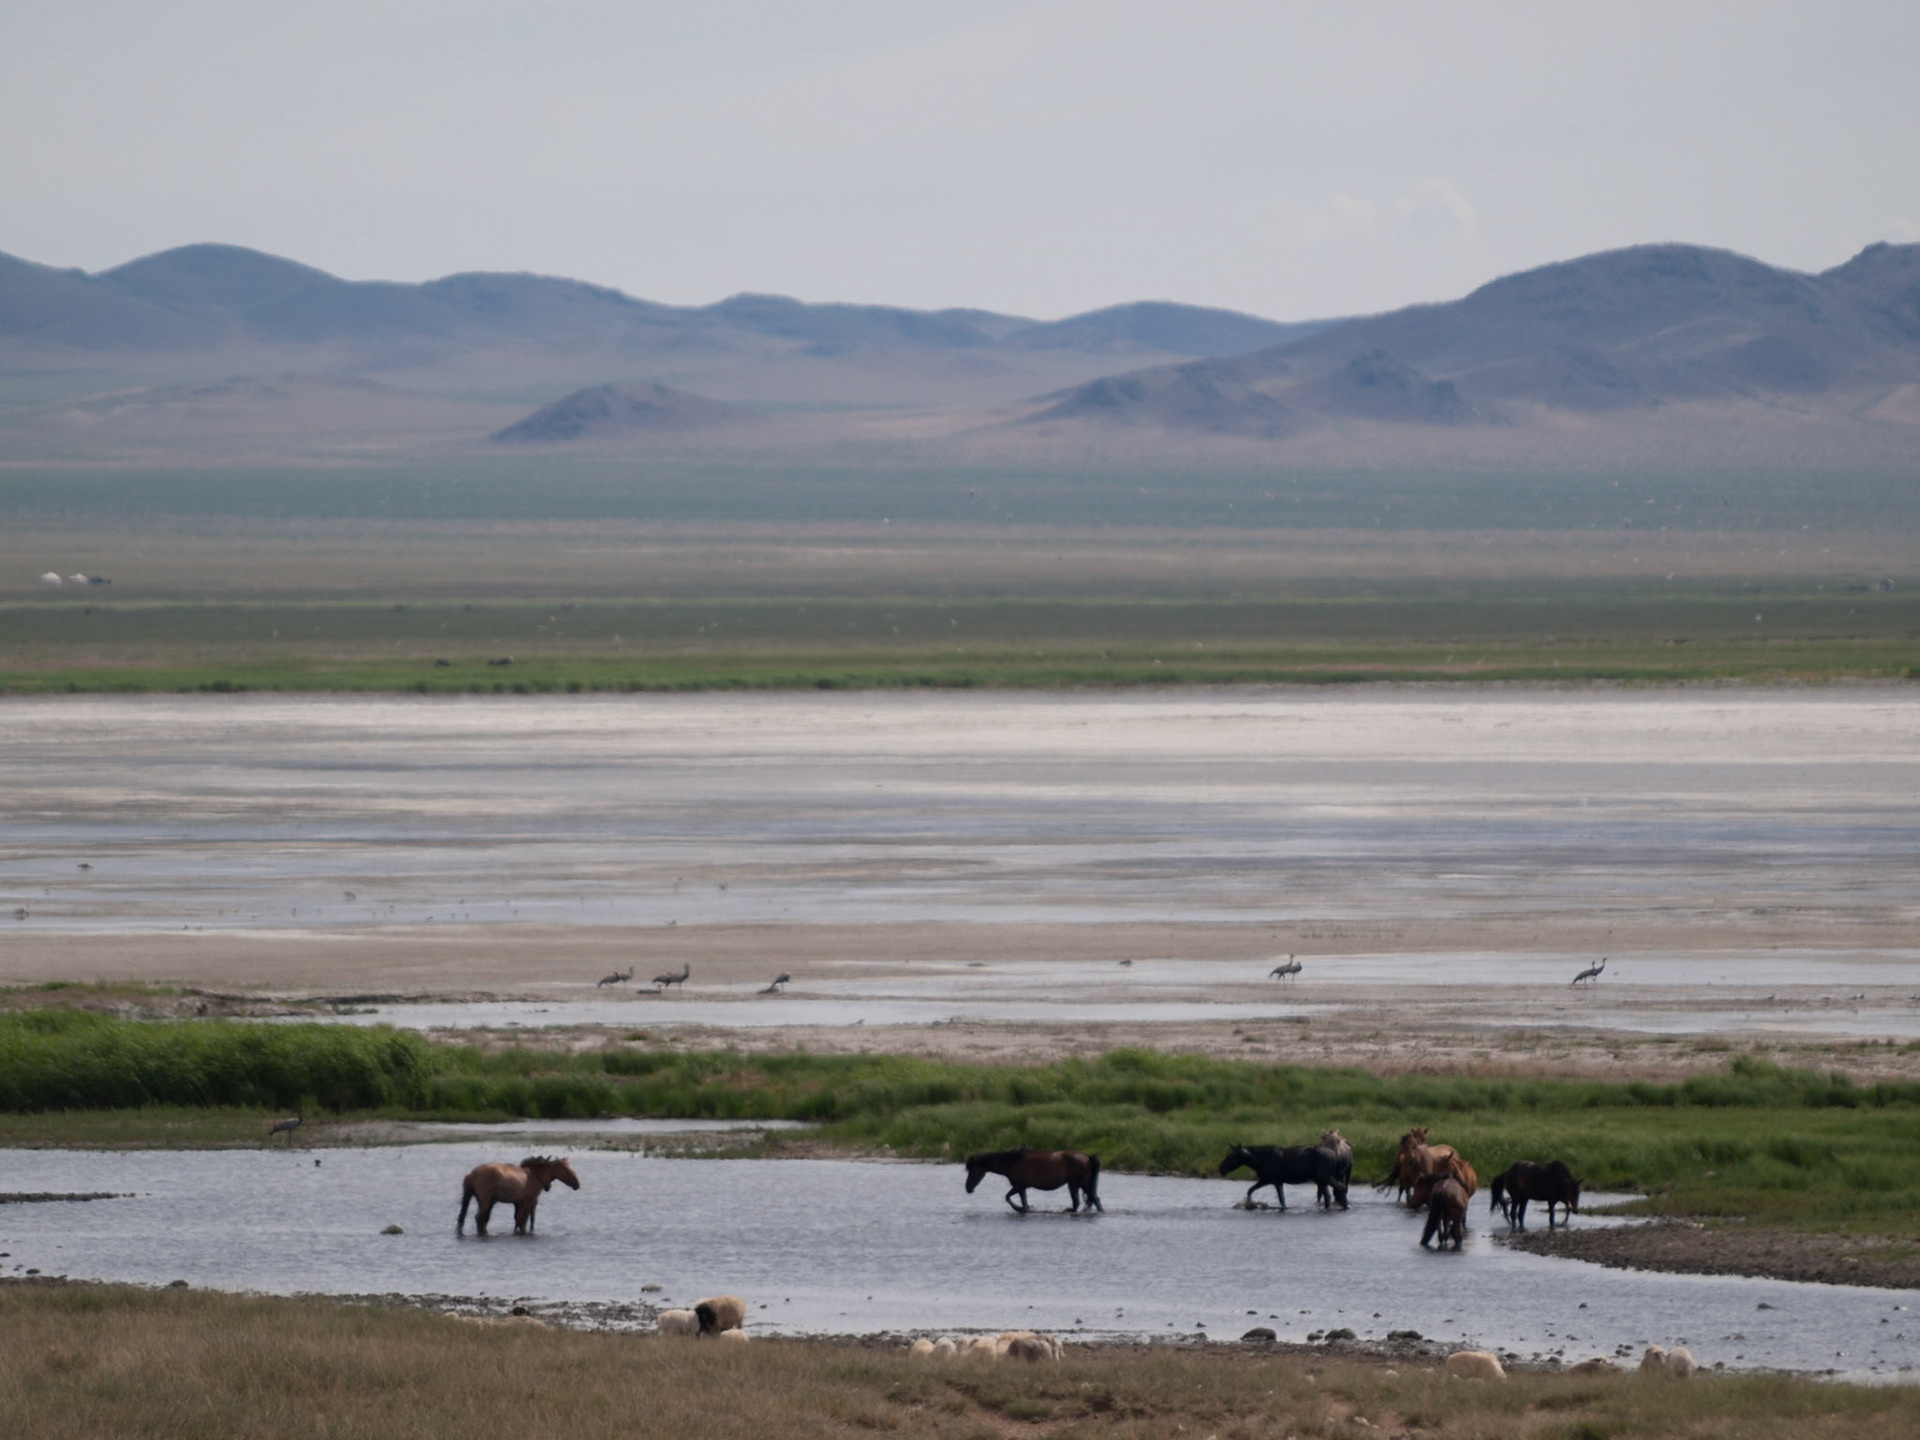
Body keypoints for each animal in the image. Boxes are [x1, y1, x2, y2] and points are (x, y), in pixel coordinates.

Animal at [963, 1147, 1102, 1214]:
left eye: (973, 1170)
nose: (968, 1188)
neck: (1012, 1162)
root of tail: (1087, 1157)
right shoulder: (1022, 1188)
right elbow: (1023, 1201)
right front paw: (1025, 1208)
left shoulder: (1019, 1186)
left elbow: (1008, 1197)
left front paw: (1019, 1208)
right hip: (1075, 1184)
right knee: (1084, 1201)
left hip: (1079, 1184)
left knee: (1091, 1199)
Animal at [1219, 1142, 1349, 1210]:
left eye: (1232, 1156)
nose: (1221, 1169)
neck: (1257, 1162)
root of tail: (1334, 1155)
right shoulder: (1278, 1181)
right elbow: (1282, 1200)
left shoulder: (1267, 1179)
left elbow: (1250, 1190)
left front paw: (1250, 1204)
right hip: (1321, 1179)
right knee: (1328, 1196)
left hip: (1325, 1176)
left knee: (1341, 1187)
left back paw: (1345, 1206)